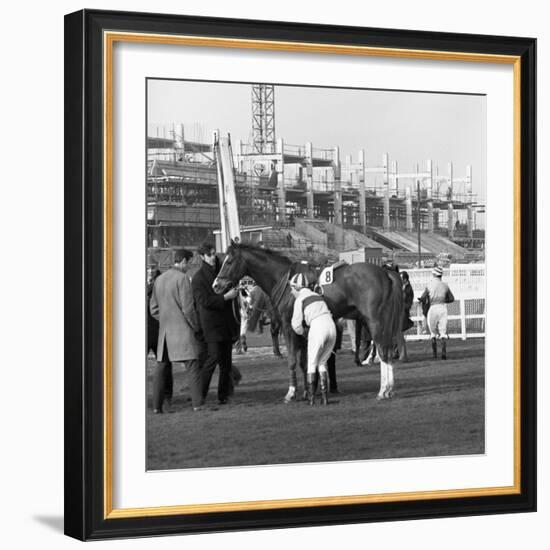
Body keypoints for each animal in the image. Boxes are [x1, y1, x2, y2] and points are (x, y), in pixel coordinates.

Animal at [213, 245, 404, 402]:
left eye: (229, 261)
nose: (216, 285)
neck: (284, 280)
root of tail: (385, 273)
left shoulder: (289, 326)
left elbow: (292, 360)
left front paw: (291, 393)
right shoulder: (305, 330)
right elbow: (305, 362)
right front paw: (307, 391)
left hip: (375, 321)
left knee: (382, 350)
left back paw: (383, 390)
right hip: (384, 321)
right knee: (387, 350)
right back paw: (388, 389)